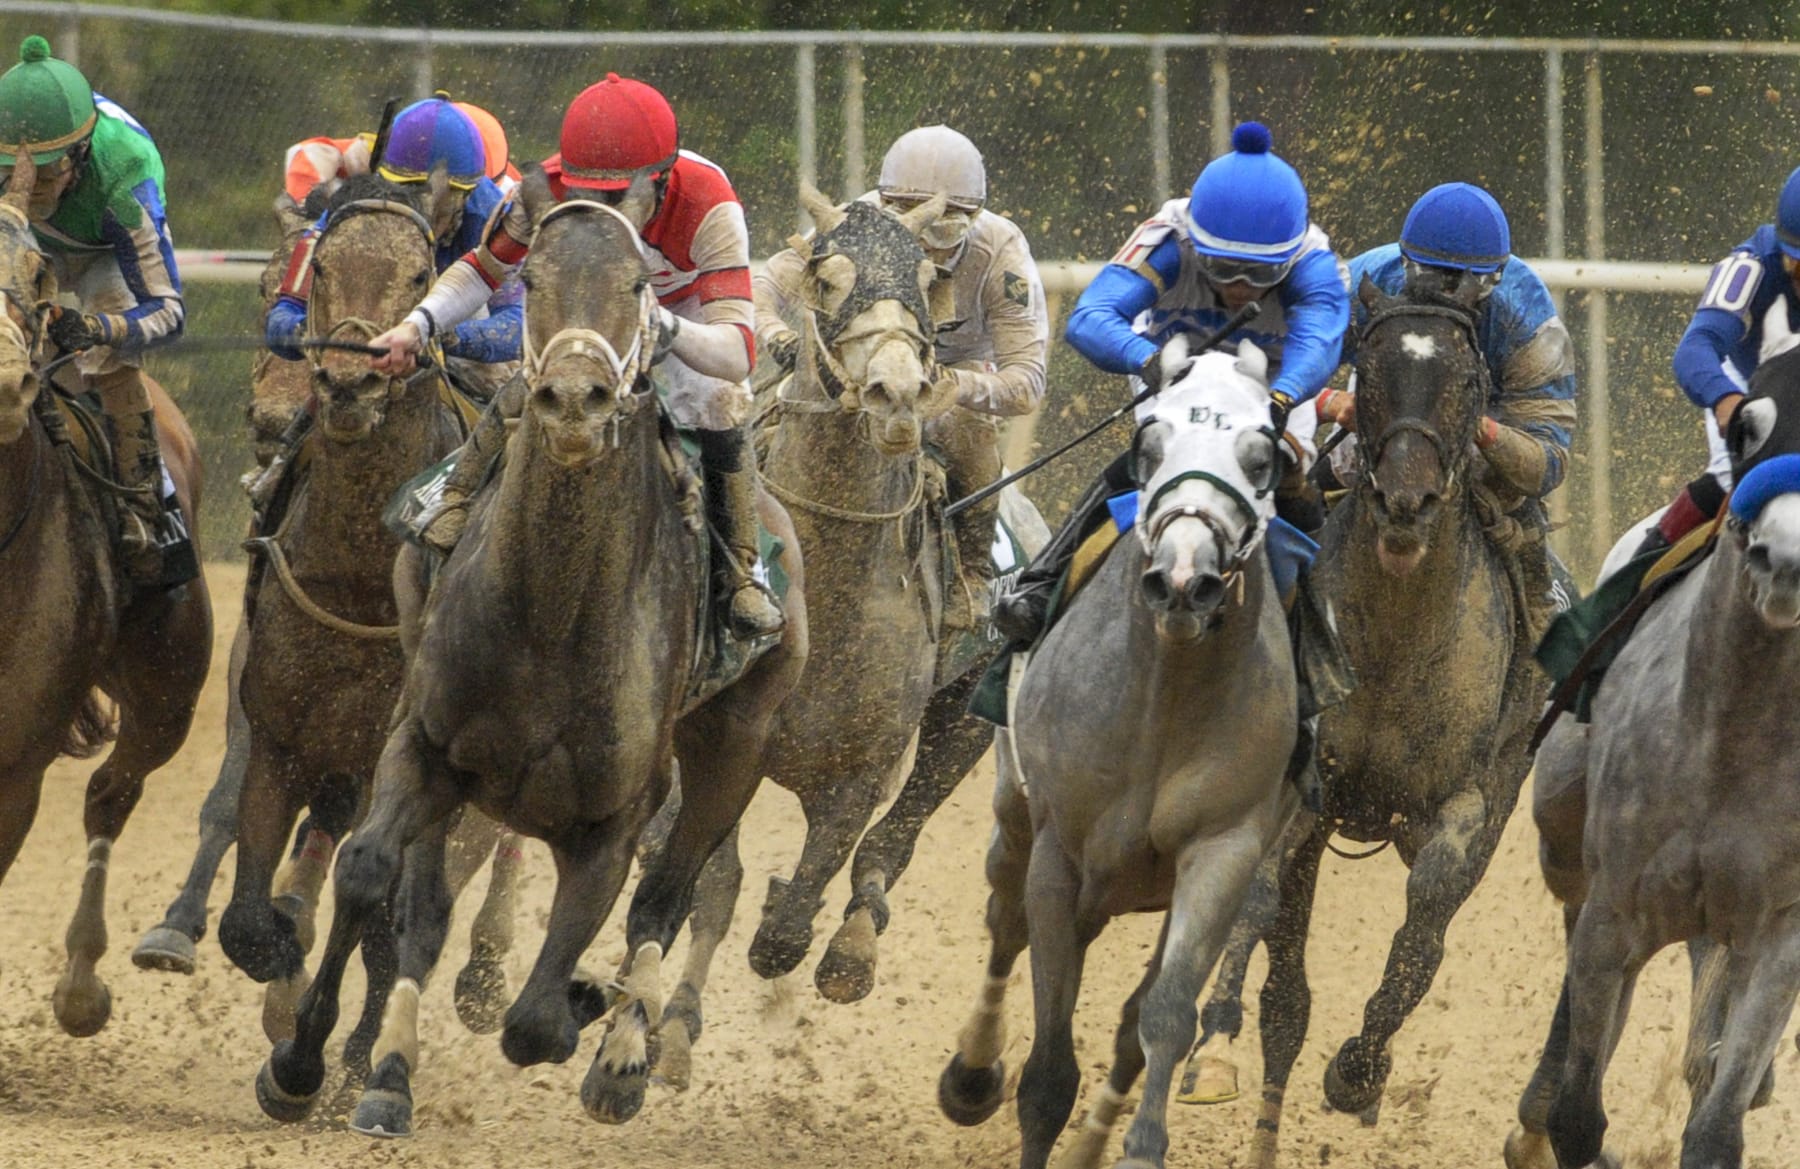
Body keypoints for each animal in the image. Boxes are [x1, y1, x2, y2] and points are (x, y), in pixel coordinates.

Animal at [253, 168, 806, 1132]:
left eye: (636, 284)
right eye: (536, 277)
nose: (575, 399)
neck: (553, 617)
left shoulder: (614, 820)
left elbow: (540, 1017)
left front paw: (591, 1003)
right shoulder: (423, 744)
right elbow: (371, 875)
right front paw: (305, 1062)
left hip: (736, 742)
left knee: (665, 898)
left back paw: (622, 1053)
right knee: (427, 902)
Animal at [938, 339, 1300, 1169]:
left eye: (1259, 457)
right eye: (1151, 443)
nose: (1185, 580)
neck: (1163, 695)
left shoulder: (1223, 849)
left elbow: (1159, 1015)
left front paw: (1136, 1144)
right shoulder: (1061, 852)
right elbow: (1047, 1071)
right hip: (1016, 810)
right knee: (1004, 915)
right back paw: (972, 1070)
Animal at [1507, 297, 1800, 1169]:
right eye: (1749, 428)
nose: (1782, 557)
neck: (1732, 736)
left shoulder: (1779, 931)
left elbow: (1717, 1123)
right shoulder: (1618, 906)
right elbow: (1578, 1113)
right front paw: (1555, 1116)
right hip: (1562, 828)